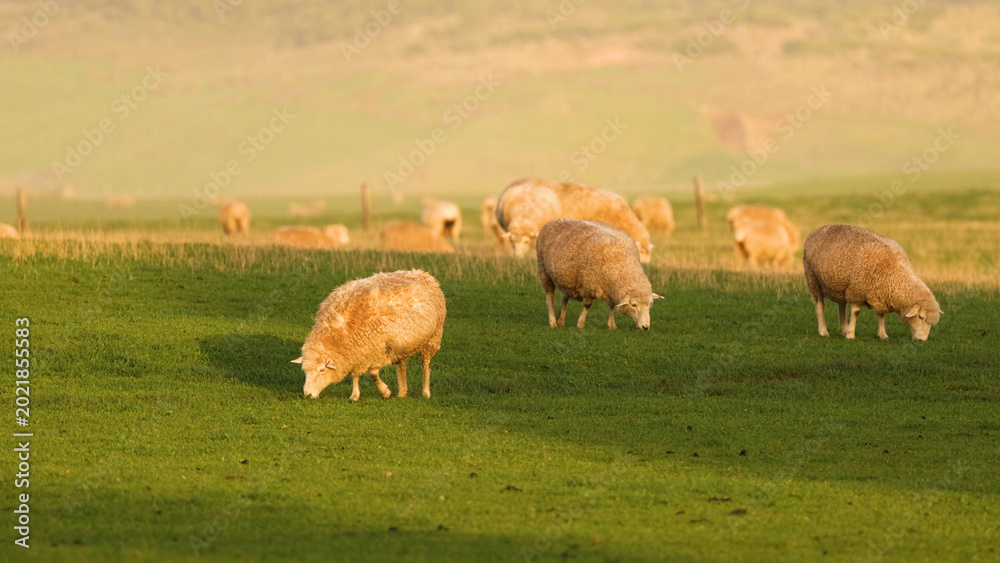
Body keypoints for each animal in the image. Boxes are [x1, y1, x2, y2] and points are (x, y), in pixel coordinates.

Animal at [293, 269, 446, 400]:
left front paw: (385, 392)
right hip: (401, 346)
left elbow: (373, 374)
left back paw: (425, 392)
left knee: (425, 364)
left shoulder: (377, 350)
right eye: (305, 371)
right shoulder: (358, 353)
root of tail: (425, 275)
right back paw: (402, 392)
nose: (307, 394)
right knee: (402, 365)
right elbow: (356, 375)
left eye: (322, 370)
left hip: (433, 337)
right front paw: (355, 395)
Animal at [803, 224, 941, 341]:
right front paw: (851, 334)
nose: (922, 340)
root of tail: (815, 231)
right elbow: (856, 312)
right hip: (813, 280)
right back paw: (823, 331)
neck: (893, 273)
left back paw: (843, 329)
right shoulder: (857, 290)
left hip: (841, 286)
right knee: (820, 306)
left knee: (842, 305)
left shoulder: (880, 293)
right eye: (921, 317)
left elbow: (881, 314)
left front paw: (882, 334)